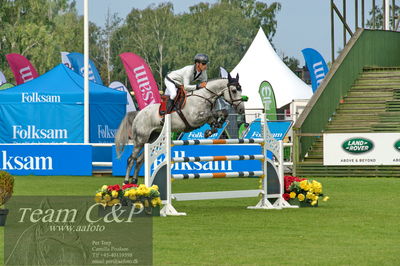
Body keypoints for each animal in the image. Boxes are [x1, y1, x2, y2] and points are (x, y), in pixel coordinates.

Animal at [115, 73, 247, 185]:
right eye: (234, 90)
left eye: (241, 89)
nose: (241, 109)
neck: (204, 97)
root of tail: (139, 113)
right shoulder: (195, 119)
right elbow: (213, 114)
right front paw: (213, 128)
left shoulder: (206, 117)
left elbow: (221, 113)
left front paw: (213, 129)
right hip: (140, 140)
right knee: (131, 160)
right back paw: (126, 182)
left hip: (151, 139)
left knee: (139, 160)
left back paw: (135, 181)